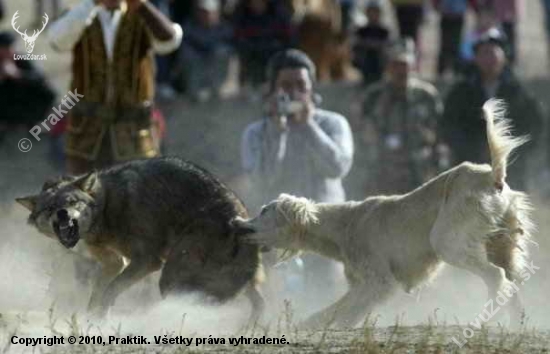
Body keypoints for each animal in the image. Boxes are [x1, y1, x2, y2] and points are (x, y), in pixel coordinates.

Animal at [16, 156, 266, 320]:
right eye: (49, 208)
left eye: (71, 202)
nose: (62, 214)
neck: (107, 206)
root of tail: (242, 221)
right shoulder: (114, 263)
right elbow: (97, 293)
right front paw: (91, 320)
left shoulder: (147, 261)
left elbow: (110, 291)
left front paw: (102, 319)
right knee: (259, 302)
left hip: (170, 276)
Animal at [235, 99, 536, 330]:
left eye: (264, 211)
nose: (240, 224)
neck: (342, 226)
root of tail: (492, 177)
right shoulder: (361, 280)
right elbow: (340, 306)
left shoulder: (378, 278)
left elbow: (348, 308)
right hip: (502, 236)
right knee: (510, 275)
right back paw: (515, 323)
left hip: (451, 233)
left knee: (495, 275)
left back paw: (484, 320)